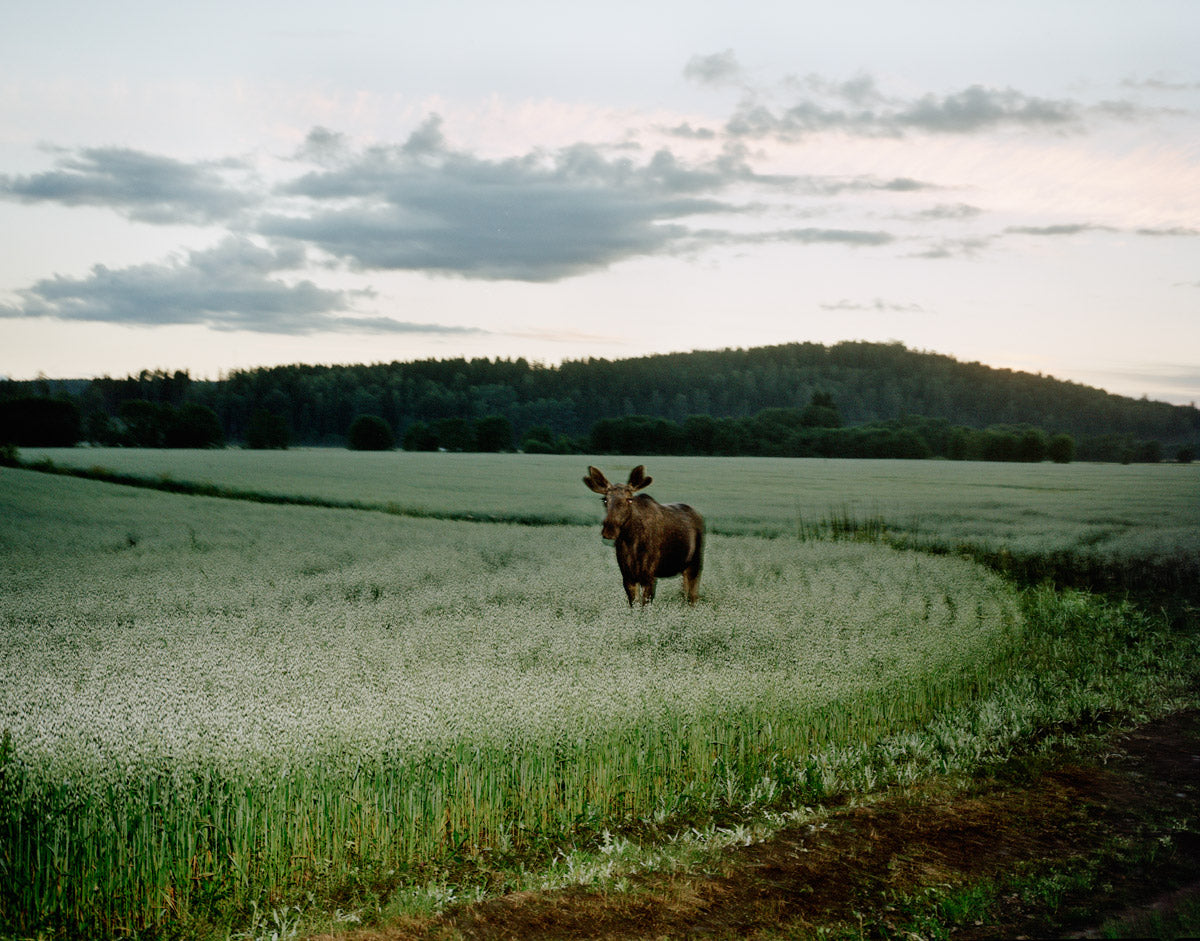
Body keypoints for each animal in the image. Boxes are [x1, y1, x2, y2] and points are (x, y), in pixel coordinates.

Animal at [580, 465, 700, 609]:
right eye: (604, 500)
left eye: (629, 499)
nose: (609, 530)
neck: (631, 541)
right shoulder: (628, 577)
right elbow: (634, 605)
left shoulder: (649, 576)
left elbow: (644, 606)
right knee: (685, 593)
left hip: (695, 563)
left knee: (693, 595)